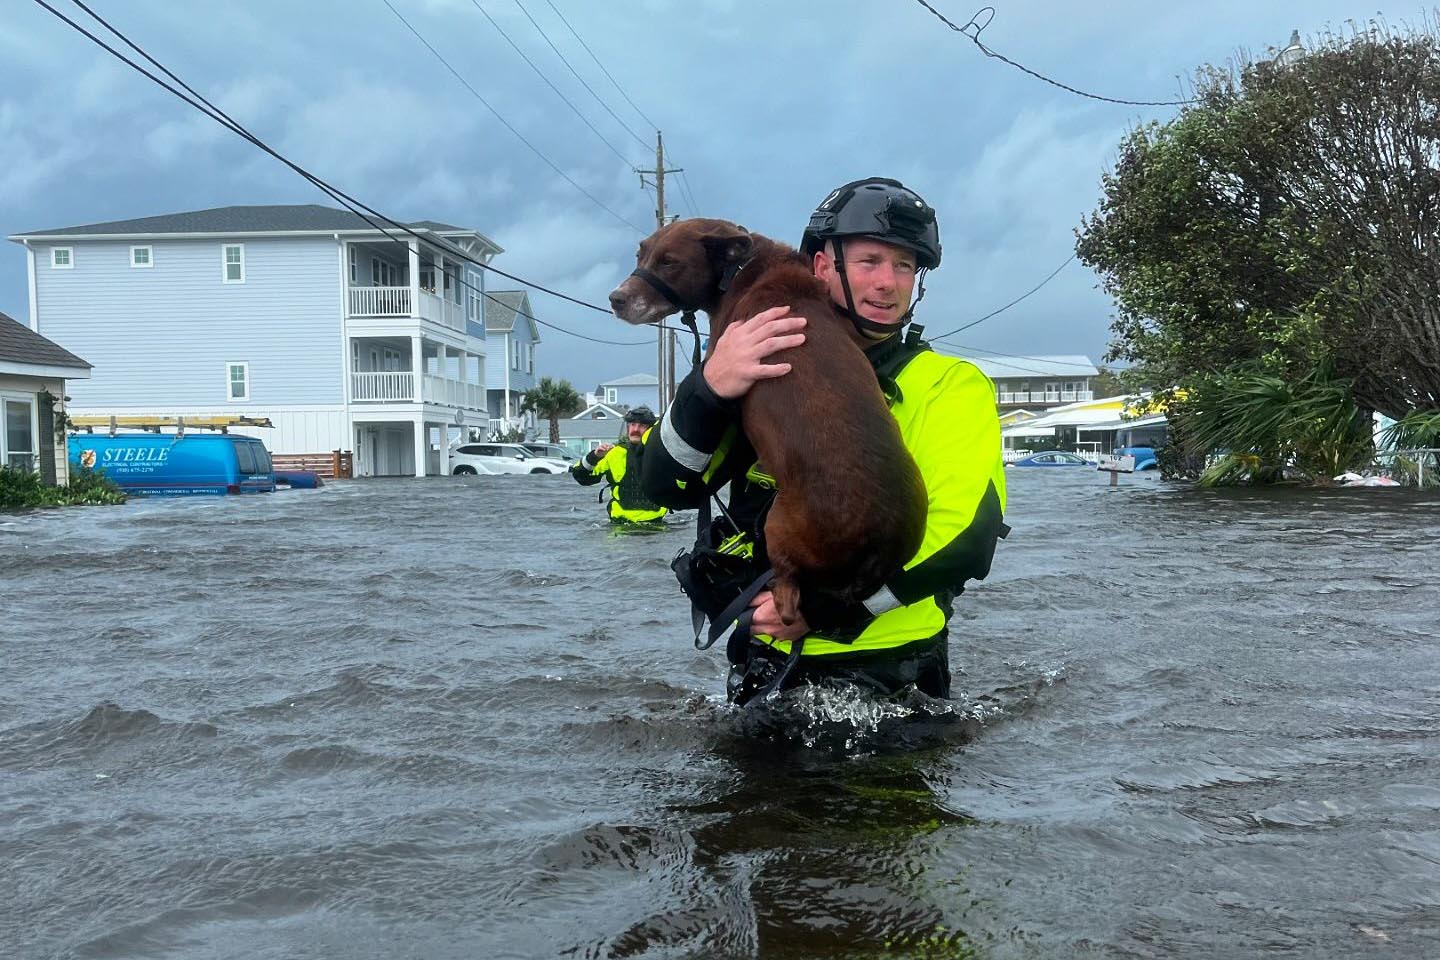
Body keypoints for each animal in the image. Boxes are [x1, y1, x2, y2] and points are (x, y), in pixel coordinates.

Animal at [604, 217, 921, 630]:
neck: (744, 267)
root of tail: (875, 549)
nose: (616, 298)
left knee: (787, 599)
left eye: (670, 262)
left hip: (777, 527)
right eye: (640, 254)